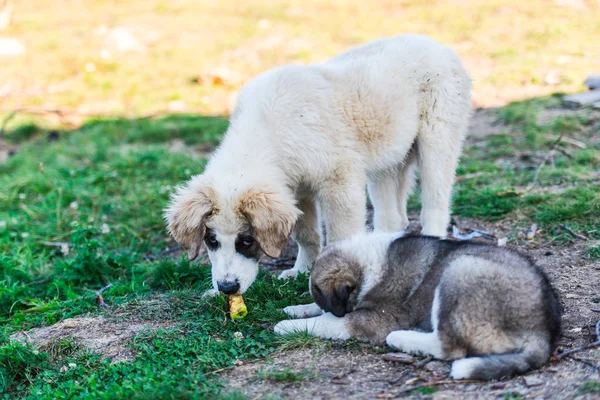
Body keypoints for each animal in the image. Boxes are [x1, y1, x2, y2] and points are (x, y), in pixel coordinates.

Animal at [165, 34, 474, 296]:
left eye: (247, 241)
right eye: (211, 240)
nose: (227, 288)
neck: (267, 132)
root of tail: (438, 45)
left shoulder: (340, 182)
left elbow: (338, 236)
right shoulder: (296, 188)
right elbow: (306, 234)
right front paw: (301, 270)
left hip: (437, 138)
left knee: (435, 205)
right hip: (385, 157)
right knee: (392, 218)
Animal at [276, 233, 564, 380]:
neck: (371, 265)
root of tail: (542, 332)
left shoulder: (374, 320)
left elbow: (330, 320)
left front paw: (287, 325)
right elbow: (320, 312)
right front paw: (295, 309)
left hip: (459, 270)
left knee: (450, 347)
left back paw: (402, 338)